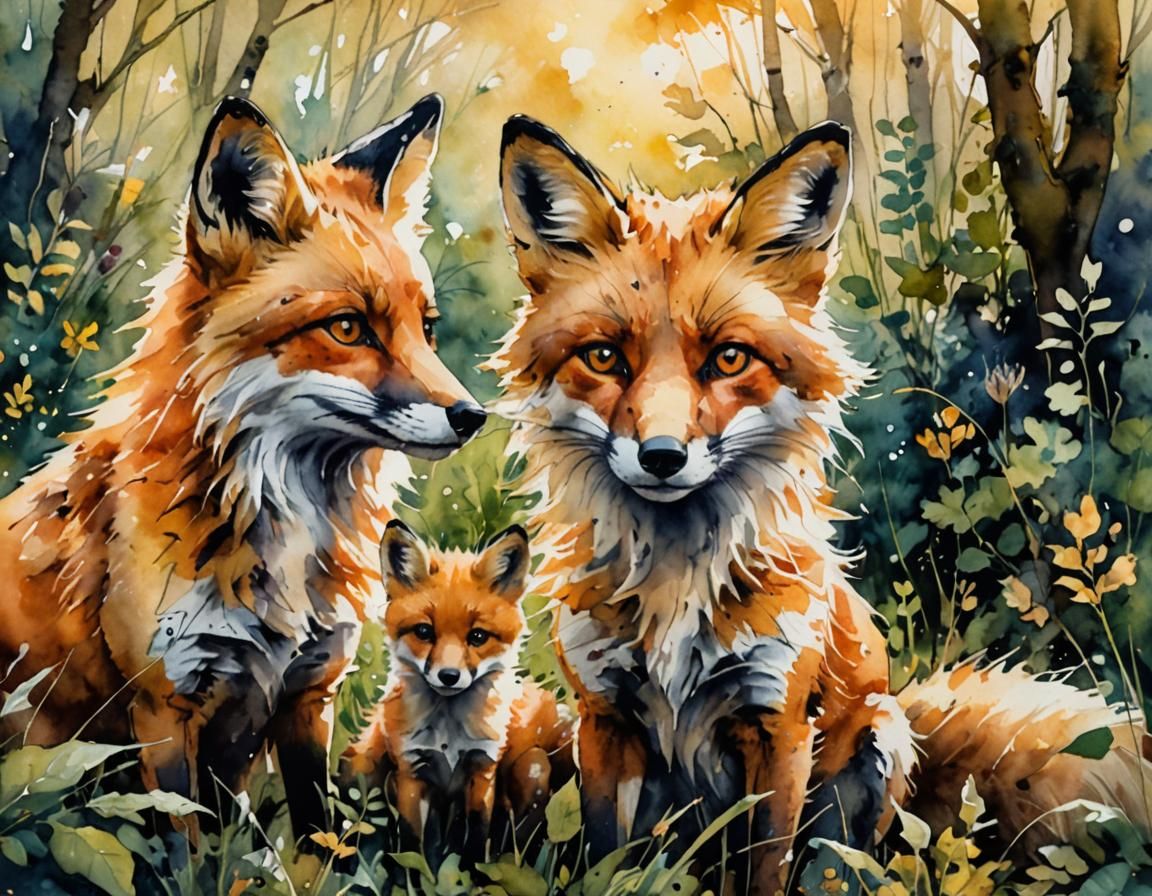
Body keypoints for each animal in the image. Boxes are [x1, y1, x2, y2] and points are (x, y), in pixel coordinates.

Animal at [0, 94, 486, 844]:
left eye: (424, 329)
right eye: (348, 328)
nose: (472, 416)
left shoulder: (309, 692)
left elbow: (314, 836)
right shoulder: (163, 705)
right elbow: (184, 847)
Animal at [340, 521, 575, 858]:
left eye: (477, 636)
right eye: (424, 631)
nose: (449, 676)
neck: (447, 735)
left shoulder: (482, 770)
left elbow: (476, 837)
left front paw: (474, 871)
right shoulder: (411, 773)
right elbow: (413, 847)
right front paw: (414, 872)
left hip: (534, 766)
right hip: (363, 764)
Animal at [491, 116, 1152, 892]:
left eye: (728, 358)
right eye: (603, 357)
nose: (661, 456)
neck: (674, 586)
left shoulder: (777, 722)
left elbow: (765, 869)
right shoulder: (603, 718)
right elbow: (604, 859)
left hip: (876, 739)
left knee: (847, 866)